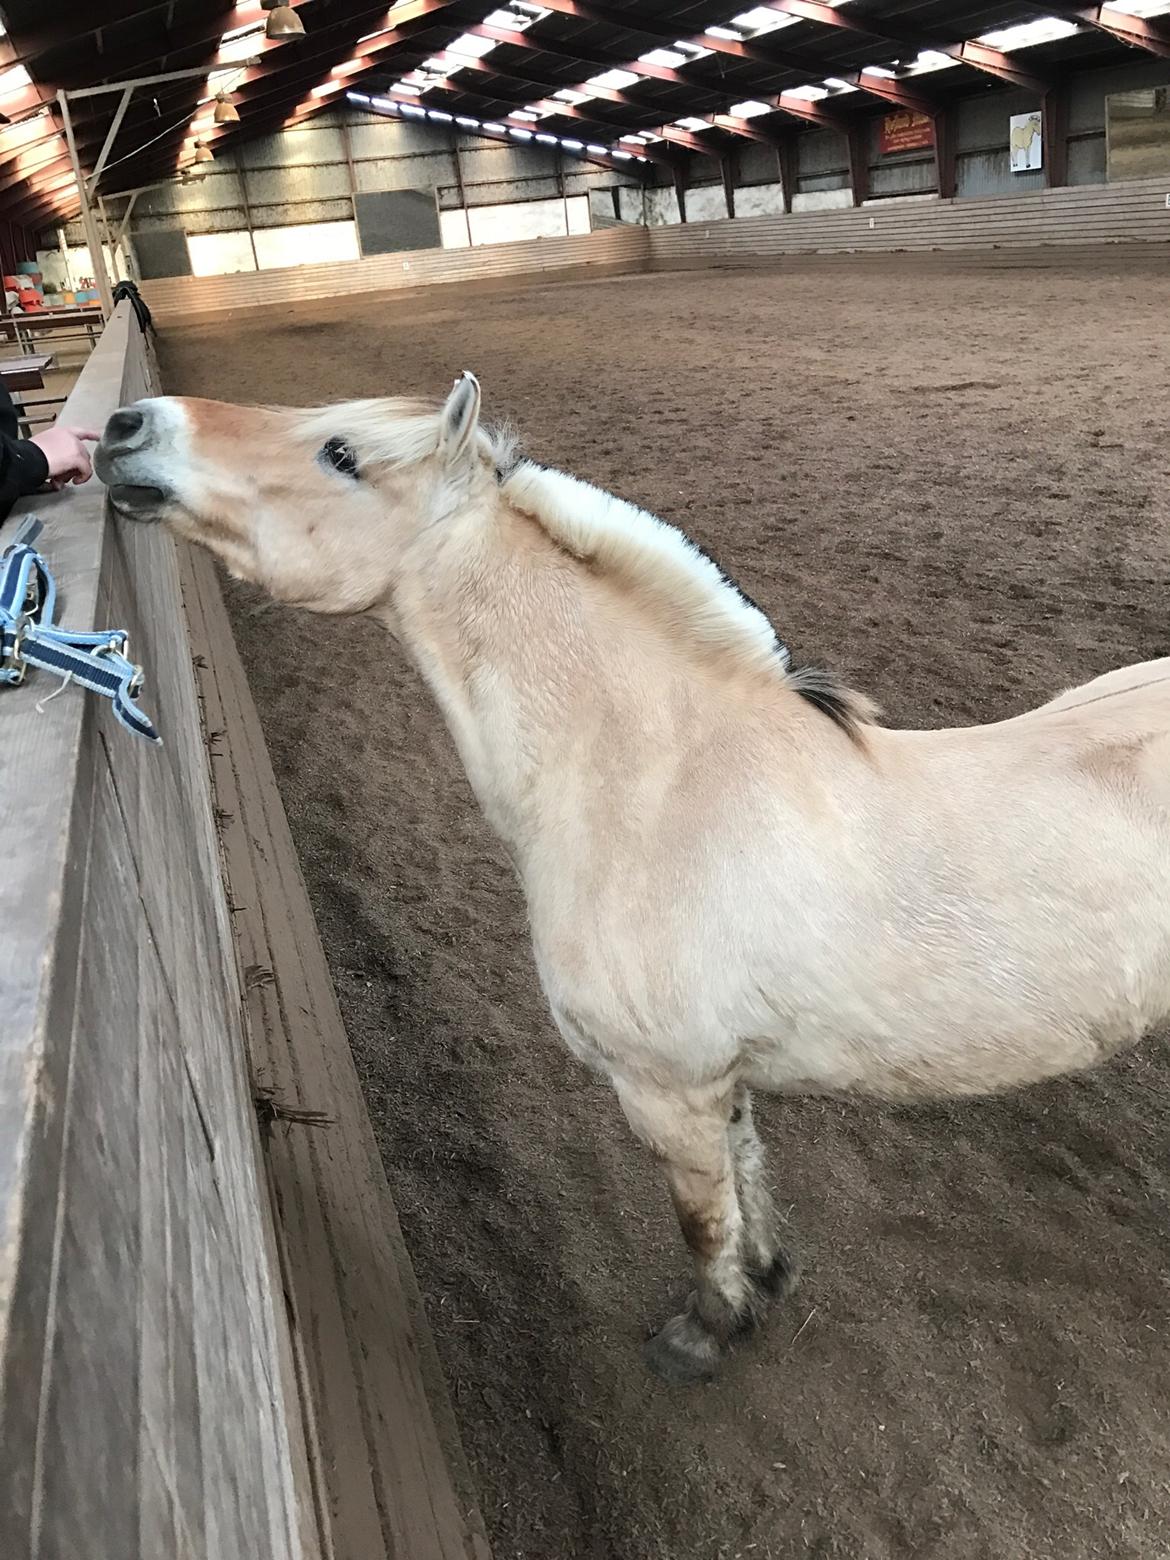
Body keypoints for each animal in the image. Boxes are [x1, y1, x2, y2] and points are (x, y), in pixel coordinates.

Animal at [96, 377, 1170, 1379]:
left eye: (341, 453)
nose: (126, 426)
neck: (664, 787)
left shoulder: (664, 1089)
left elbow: (702, 1219)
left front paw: (705, 1333)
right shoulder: (718, 1082)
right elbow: (746, 1178)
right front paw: (765, 1281)